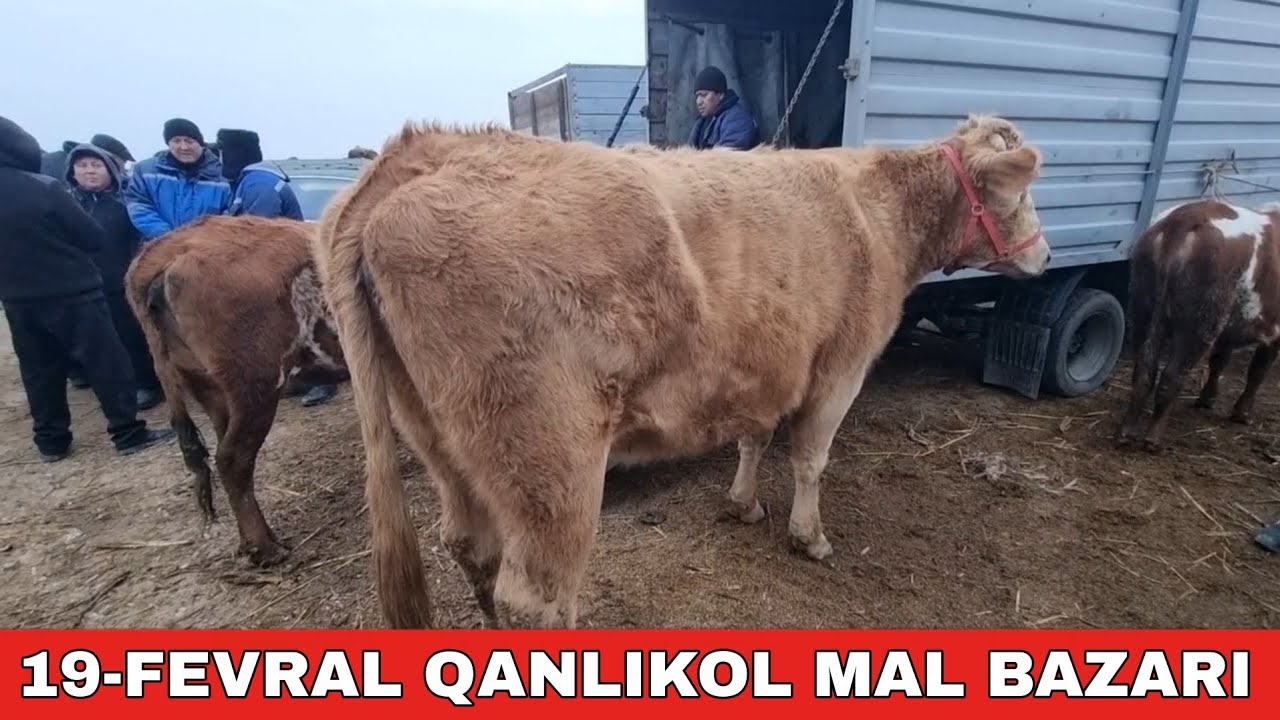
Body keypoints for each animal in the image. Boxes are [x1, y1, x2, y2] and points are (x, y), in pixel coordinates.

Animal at [125, 214, 348, 566]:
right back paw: (264, 548)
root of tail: (169, 246)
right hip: (254, 386)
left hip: (210, 386)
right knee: (233, 459)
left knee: (224, 455)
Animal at [313, 114, 1050, 629]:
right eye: (1019, 193)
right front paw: (808, 537)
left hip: (441, 442)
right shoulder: (841, 366)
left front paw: (744, 503)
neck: (878, 211)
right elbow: (811, 459)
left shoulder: (765, 365)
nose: (1045, 254)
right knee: (538, 597)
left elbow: (755, 436)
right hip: (549, 459)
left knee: (473, 550)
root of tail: (419, 153)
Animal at [1118, 198, 1280, 451]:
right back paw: (1153, 438)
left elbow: (1219, 361)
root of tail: (1183, 219)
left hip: (1142, 304)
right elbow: (1257, 372)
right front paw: (1242, 413)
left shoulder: (1228, 332)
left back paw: (1127, 430)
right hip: (1199, 321)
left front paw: (1207, 399)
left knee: (1144, 369)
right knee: (1171, 376)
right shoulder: (1273, 330)